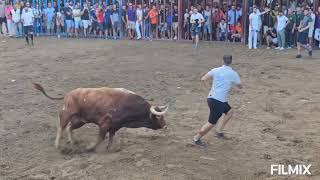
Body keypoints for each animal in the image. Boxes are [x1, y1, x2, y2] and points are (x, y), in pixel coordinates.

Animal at [32, 83, 169, 151]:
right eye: (158, 117)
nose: (165, 126)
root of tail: (68, 94)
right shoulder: (105, 123)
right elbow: (101, 137)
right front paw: (90, 148)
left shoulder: (115, 126)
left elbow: (111, 137)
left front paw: (110, 148)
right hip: (66, 113)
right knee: (61, 127)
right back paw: (57, 145)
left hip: (80, 120)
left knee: (69, 128)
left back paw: (73, 142)